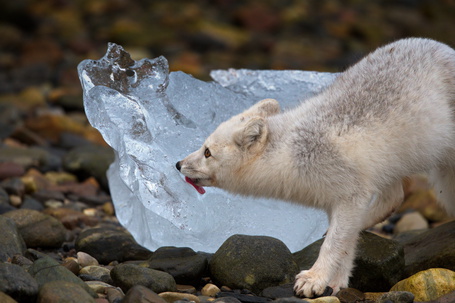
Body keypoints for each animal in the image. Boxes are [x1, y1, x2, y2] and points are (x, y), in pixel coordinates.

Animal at [175, 37, 455, 296]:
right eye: (203, 147)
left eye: (207, 152)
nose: (177, 164)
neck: (290, 151)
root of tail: (443, 46)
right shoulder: (338, 201)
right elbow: (345, 245)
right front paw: (336, 282)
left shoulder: (351, 195)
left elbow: (334, 244)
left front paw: (314, 278)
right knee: (394, 198)